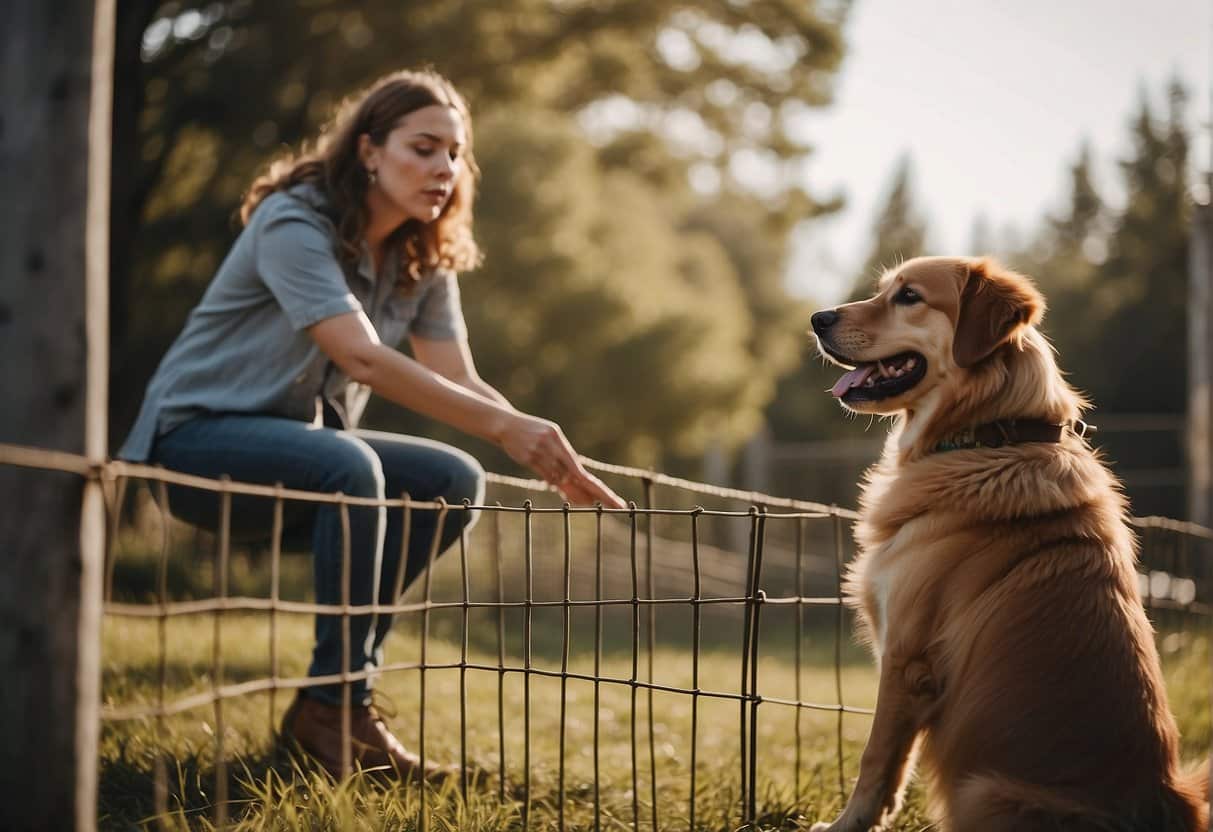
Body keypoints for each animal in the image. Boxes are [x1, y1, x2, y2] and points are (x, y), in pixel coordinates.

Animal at [800, 257, 1208, 829]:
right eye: (883, 289)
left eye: (908, 296)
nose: (818, 319)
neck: (987, 436)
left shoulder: (906, 657)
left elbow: (877, 759)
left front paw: (847, 824)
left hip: (983, 791)